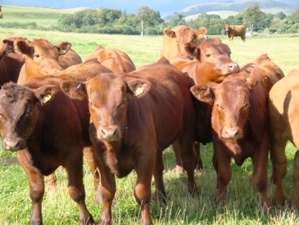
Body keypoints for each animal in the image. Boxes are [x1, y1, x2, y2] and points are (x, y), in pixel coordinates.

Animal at [0, 81, 94, 225]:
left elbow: (76, 191)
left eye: (29, 110)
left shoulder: (74, 155)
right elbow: (36, 192)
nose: (11, 144)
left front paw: (87, 219)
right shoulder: (25, 161)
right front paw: (35, 220)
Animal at [61, 58, 199, 225]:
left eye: (123, 101)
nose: (109, 132)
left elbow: (141, 192)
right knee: (158, 169)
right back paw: (161, 197)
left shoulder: (145, 154)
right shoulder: (100, 156)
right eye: (91, 103)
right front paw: (104, 219)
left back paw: (193, 191)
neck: (116, 146)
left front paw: (146, 221)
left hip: (186, 130)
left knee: (188, 160)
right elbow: (107, 190)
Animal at [191, 54, 284, 211]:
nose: (231, 132)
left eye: (245, 105)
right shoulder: (220, 145)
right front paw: (220, 202)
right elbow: (224, 175)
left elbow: (259, 179)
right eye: (218, 105)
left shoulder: (263, 144)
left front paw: (266, 207)